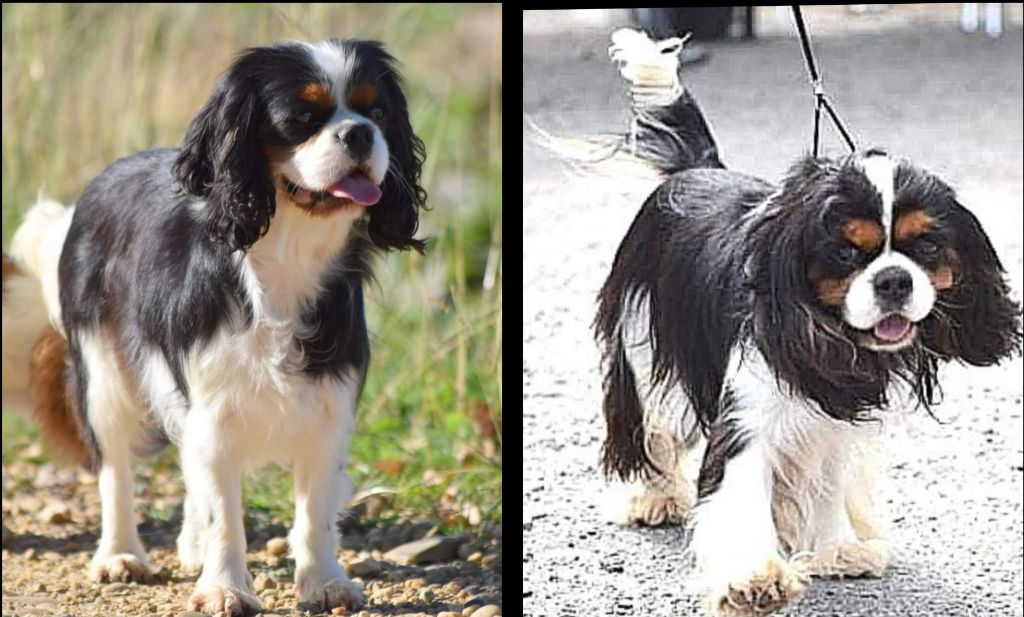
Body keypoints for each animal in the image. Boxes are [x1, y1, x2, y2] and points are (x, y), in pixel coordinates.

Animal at [598, 27, 1019, 613]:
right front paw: (752, 578)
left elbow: (828, 481)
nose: (895, 280)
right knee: (651, 427)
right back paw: (652, 496)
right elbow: (739, 491)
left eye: (927, 245)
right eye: (846, 252)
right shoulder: (746, 420)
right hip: (645, 347)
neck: (829, 332)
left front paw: (837, 548)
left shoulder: (836, 423)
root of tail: (697, 169)